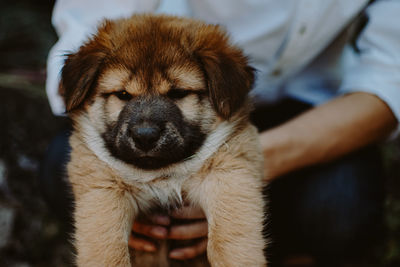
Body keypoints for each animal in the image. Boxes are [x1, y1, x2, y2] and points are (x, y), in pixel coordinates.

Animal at [61, 15, 268, 267]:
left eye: (178, 93)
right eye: (123, 95)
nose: (145, 136)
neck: (161, 175)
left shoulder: (228, 173)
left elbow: (230, 240)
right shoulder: (104, 188)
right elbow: (108, 250)